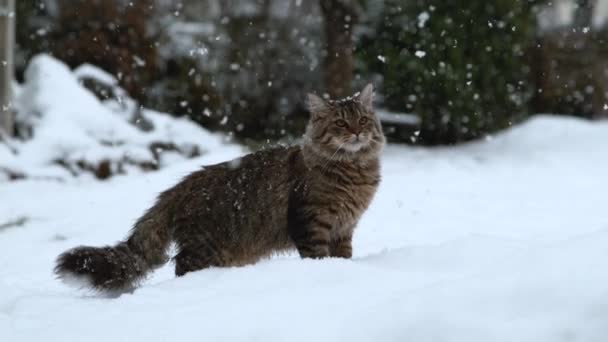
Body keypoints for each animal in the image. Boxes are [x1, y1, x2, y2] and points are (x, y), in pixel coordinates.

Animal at [57, 83, 388, 292]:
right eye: (341, 124)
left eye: (362, 119)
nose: (357, 132)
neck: (354, 172)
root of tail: (178, 187)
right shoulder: (310, 223)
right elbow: (317, 256)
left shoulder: (344, 228)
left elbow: (344, 256)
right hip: (205, 247)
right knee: (181, 266)